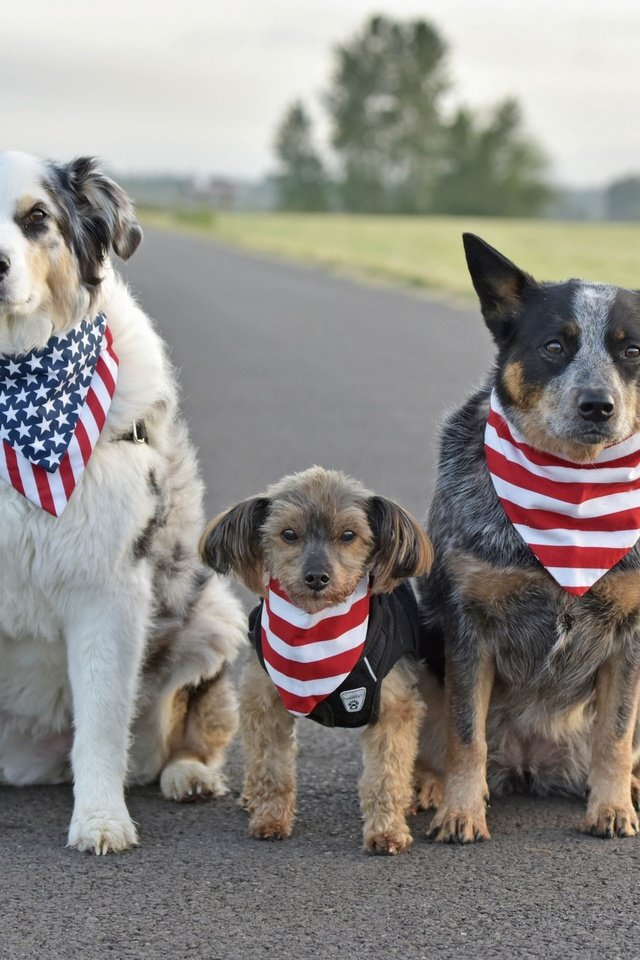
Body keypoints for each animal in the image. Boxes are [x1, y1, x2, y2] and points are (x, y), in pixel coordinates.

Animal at [0, 152, 246, 856]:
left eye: (37, 218)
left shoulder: (110, 588)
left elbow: (105, 721)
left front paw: (101, 822)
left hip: (213, 611)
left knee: (179, 733)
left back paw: (187, 776)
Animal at [201, 466, 430, 856]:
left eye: (349, 535)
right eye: (288, 534)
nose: (317, 577)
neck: (315, 629)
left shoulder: (394, 708)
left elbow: (386, 776)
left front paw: (386, 831)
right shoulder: (264, 702)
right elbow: (271, 768)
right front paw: (270, 819)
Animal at [418, 236, 640, 844]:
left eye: (633, 351)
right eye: (554, 345)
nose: (597, 405)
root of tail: (531, 762)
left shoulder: (631, 634)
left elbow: (616, 735)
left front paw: (612, 807)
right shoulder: (469, 624)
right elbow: (464, 734)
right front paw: (460, 811)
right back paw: (429, 785)